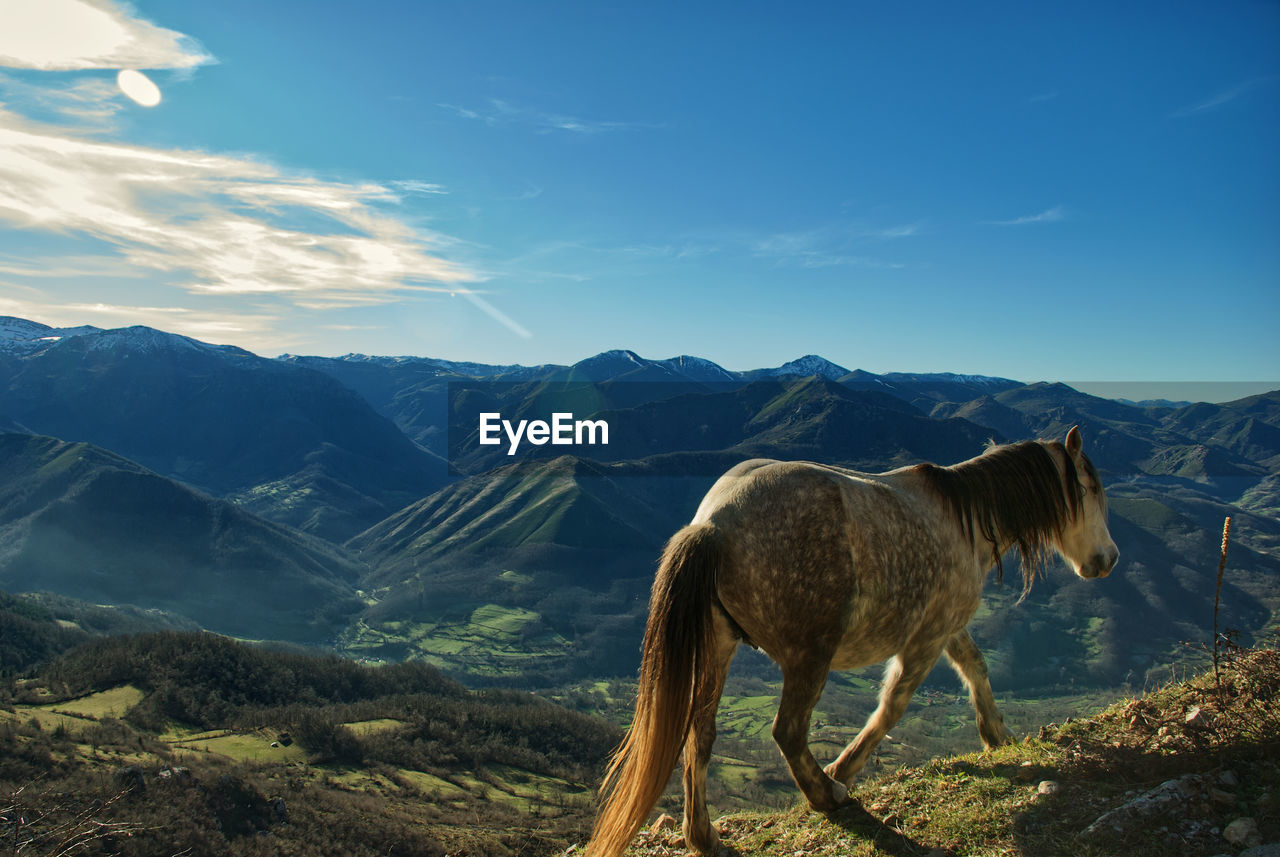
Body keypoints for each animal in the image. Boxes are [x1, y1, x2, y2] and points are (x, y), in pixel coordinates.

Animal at [586, 427, 1116, 854]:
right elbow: (892, 706)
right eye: (1090, 489)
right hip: (809, 656)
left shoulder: (945, 625)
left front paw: (997, 735)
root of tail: (713, 524)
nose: (1107, 559)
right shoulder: (925, 637)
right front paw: (844, 769)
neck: (964, 521)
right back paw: (826, 793)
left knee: (701, 732)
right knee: (787, 730)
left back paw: (703, 836)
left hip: (719, 644)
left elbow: (975, 666)